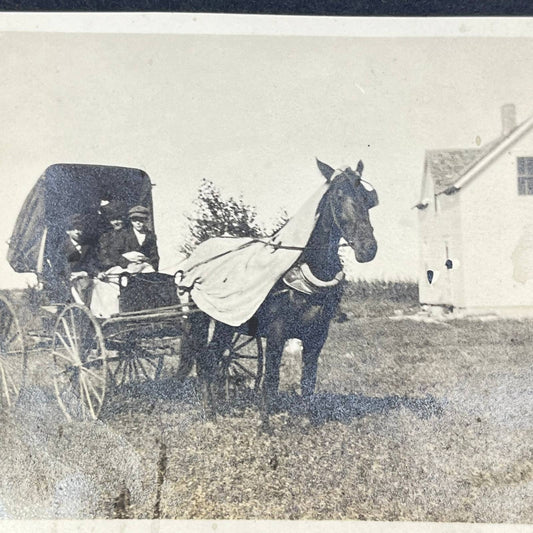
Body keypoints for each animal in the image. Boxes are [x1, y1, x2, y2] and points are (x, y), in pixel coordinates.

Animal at [183, 160, 378, 418]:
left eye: (366, 197)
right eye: (338, 196)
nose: (368, 249)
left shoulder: (317, 336)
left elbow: (308, 382)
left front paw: (306, 420)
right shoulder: (277, 333)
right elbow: (271, 380)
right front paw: (266, 423)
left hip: (226, 324)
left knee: (214, 357)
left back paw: (218, 406)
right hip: (205, 319)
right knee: (205, 360)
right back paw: (210, 412)